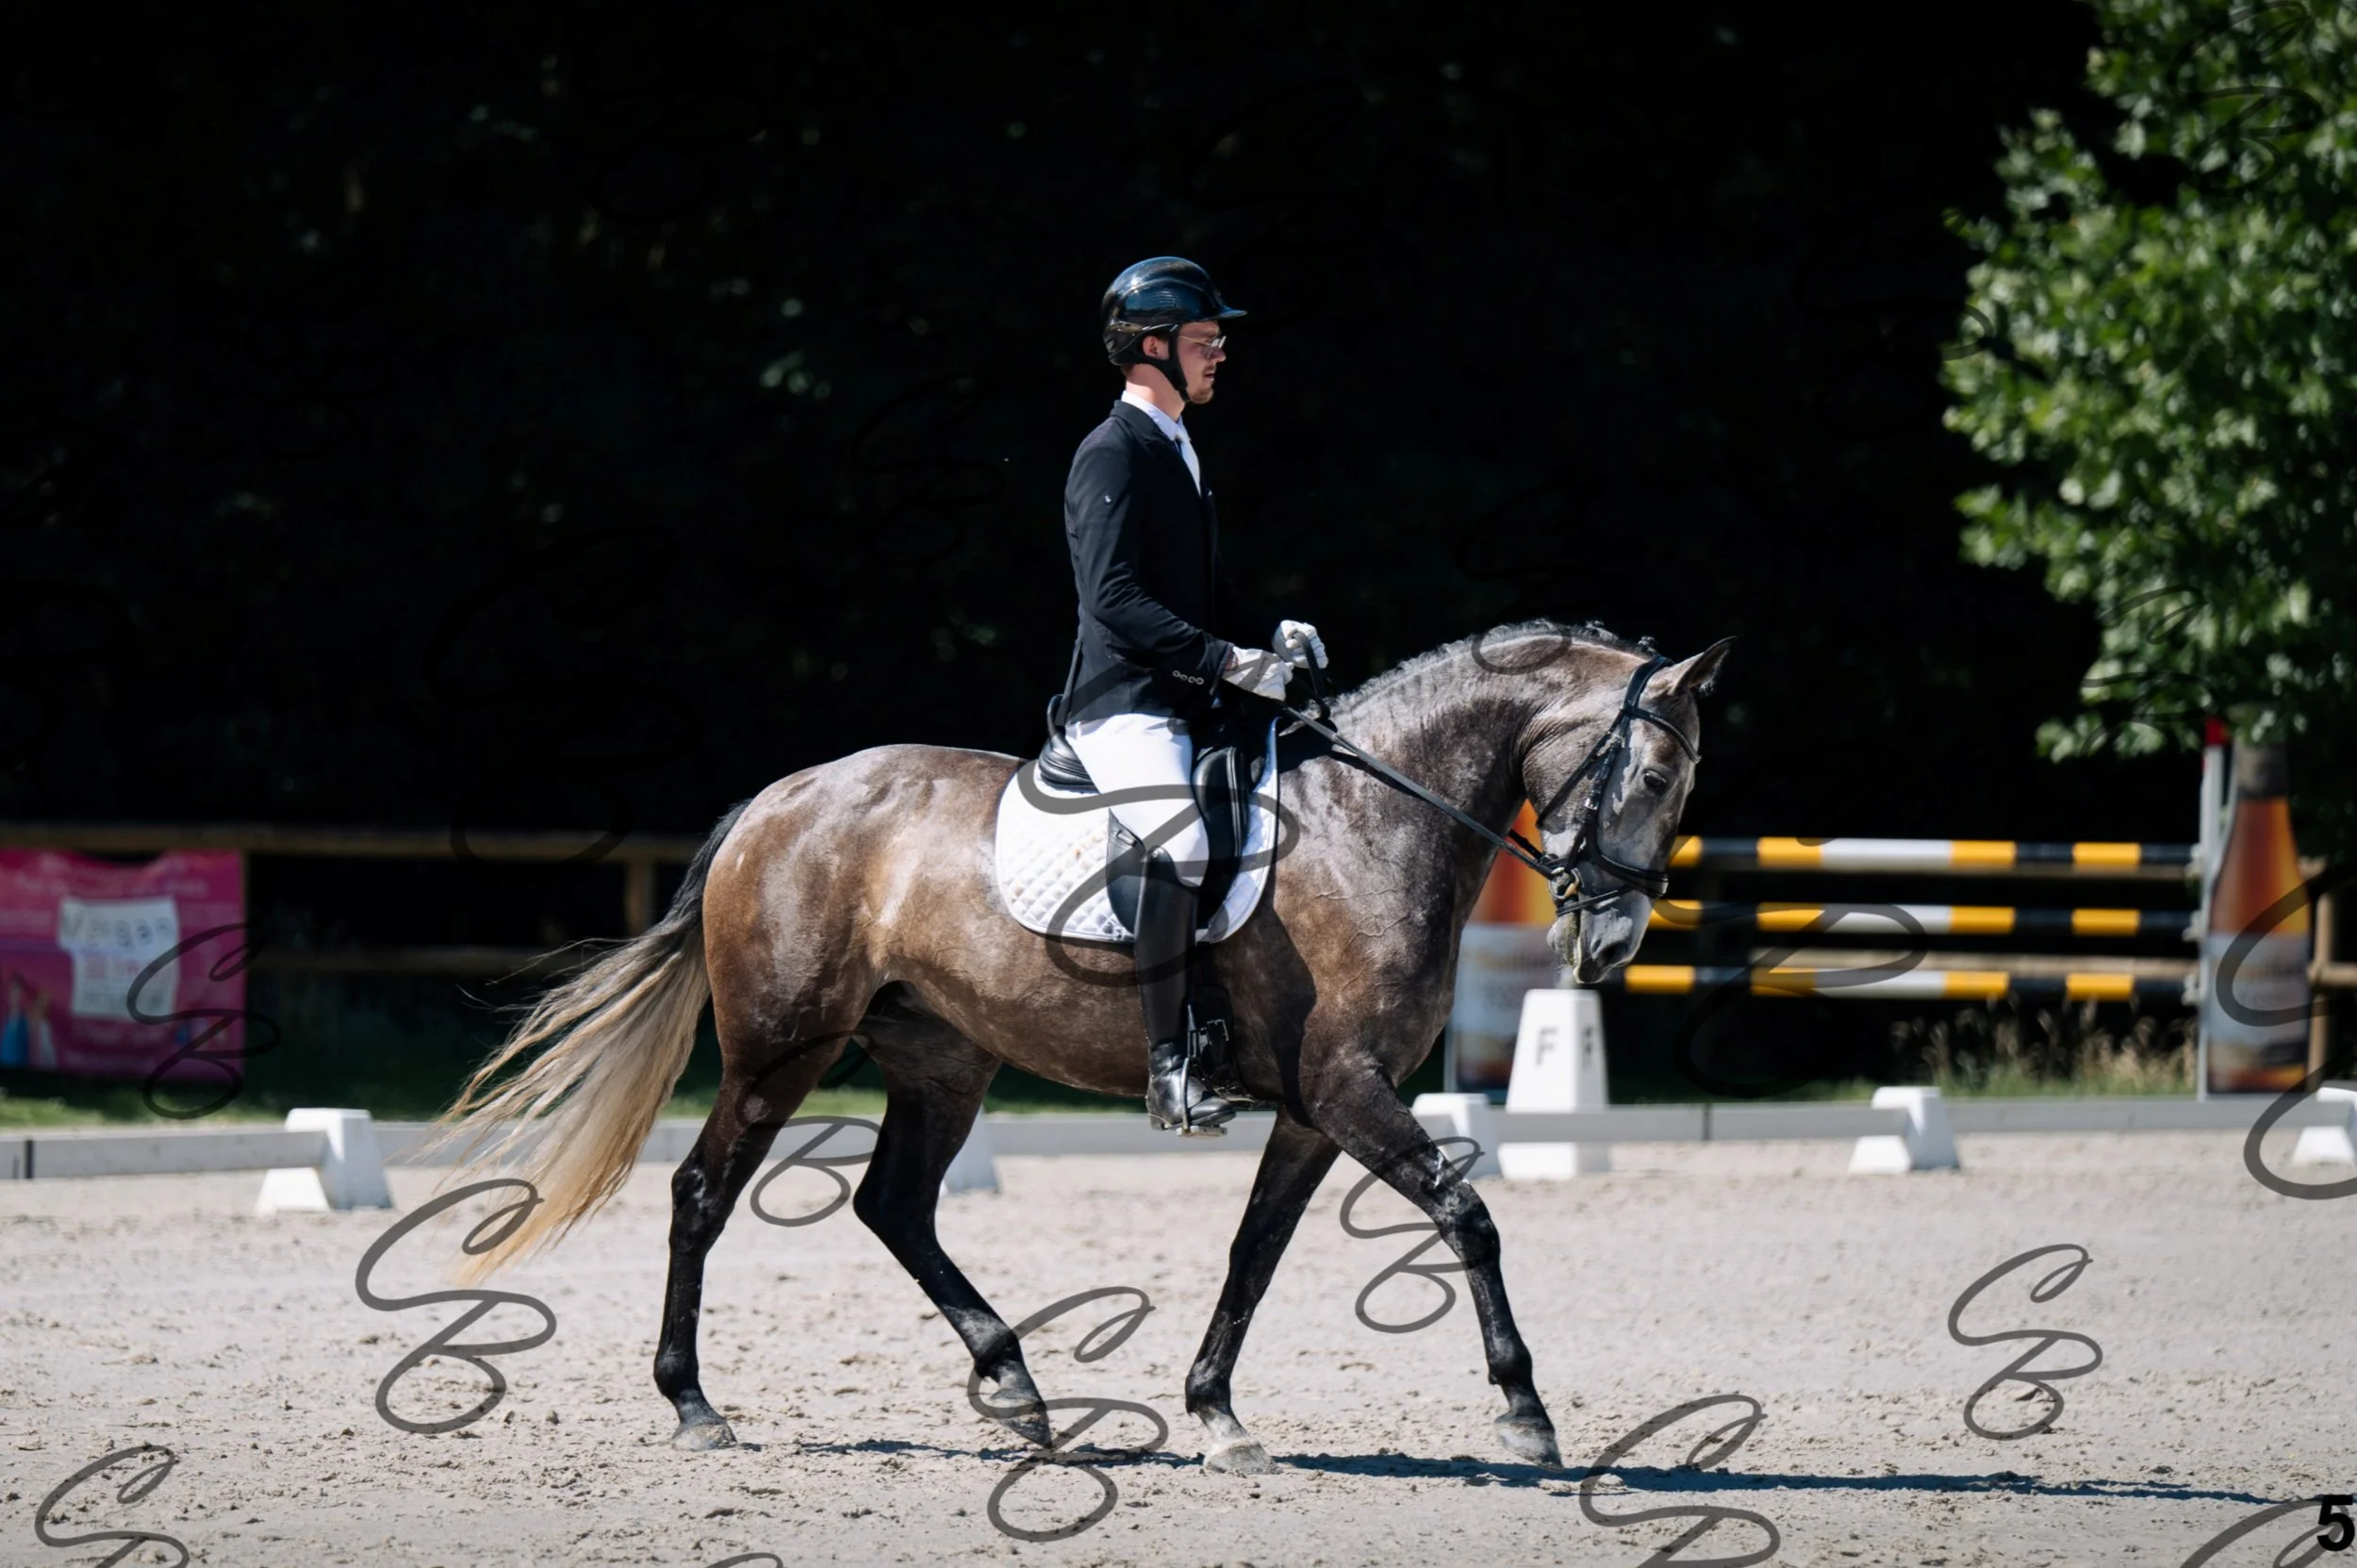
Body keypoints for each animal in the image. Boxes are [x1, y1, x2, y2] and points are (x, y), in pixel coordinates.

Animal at [433, 618, 1731, 1475]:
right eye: (1652, 771)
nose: (1614, 940)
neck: (1374, 824)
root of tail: (775, 799)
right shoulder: (1344, 1087)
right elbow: (1469, 1216)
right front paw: (1525, 1409)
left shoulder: (1314, 1109)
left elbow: (1254, 1252)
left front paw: (1215, 1412)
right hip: (780, 1048)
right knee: (703, 1193)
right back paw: (696, 1405)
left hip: (943, 1058)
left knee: (893, 1204)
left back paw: (1016, 1385)